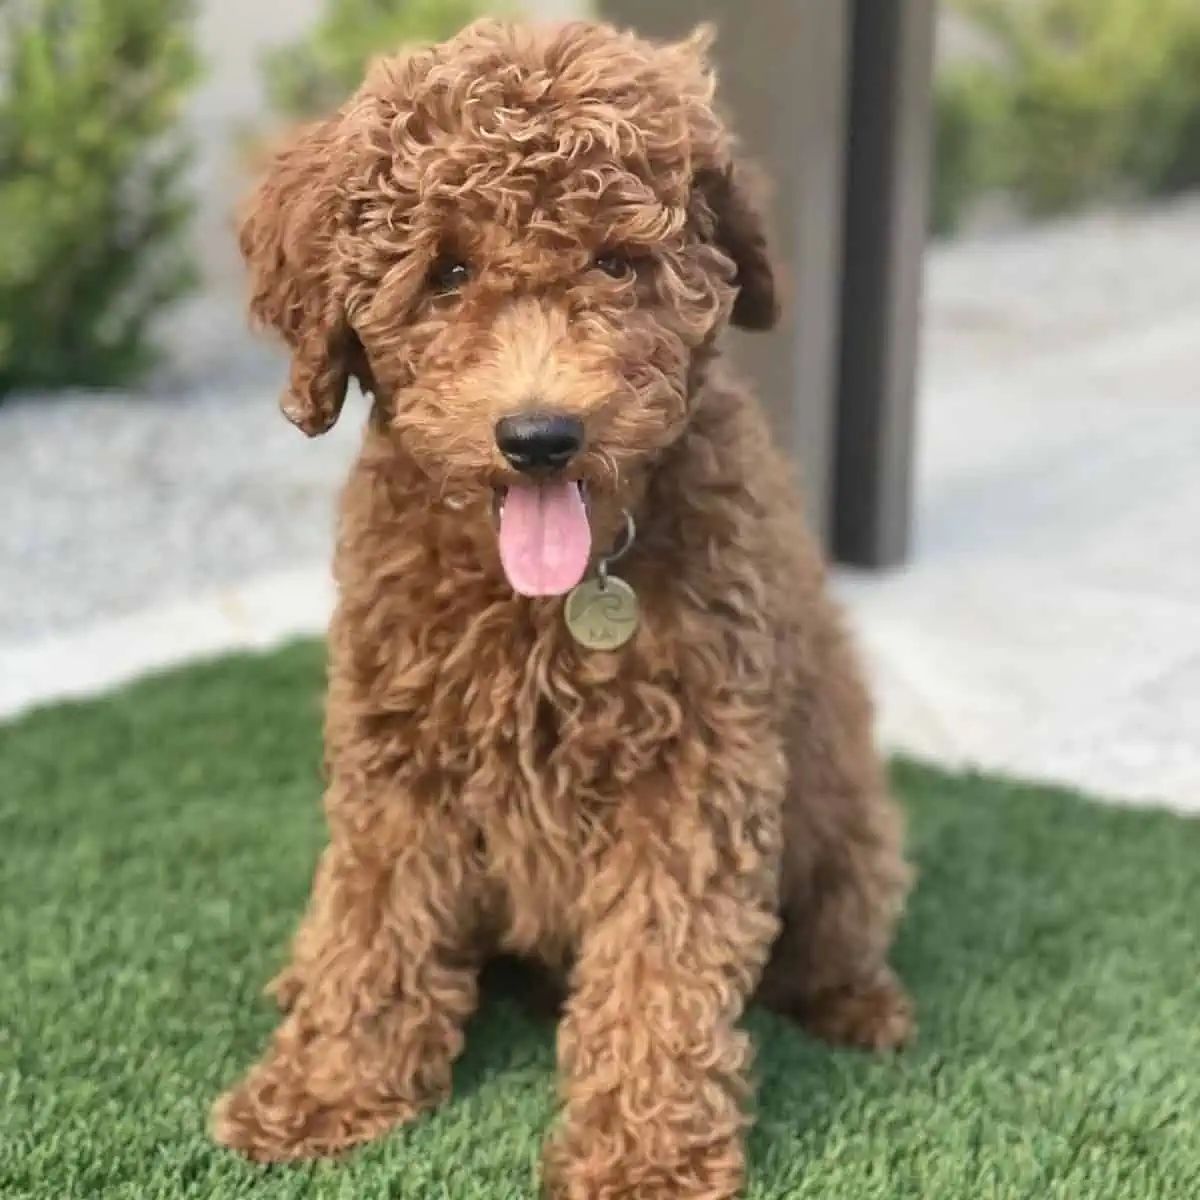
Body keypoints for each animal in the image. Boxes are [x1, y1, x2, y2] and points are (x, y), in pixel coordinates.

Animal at [213, 18, 907, 1200]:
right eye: (445, 272)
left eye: (619, 263)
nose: (540, 435)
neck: (547, 600)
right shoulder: (397, 749)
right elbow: (375, 921)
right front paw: (326, 1089)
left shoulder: (695, 771)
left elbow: (661, 969)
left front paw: (642, 1158)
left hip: (847, 830)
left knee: (837, 927)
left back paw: (861, 1005)